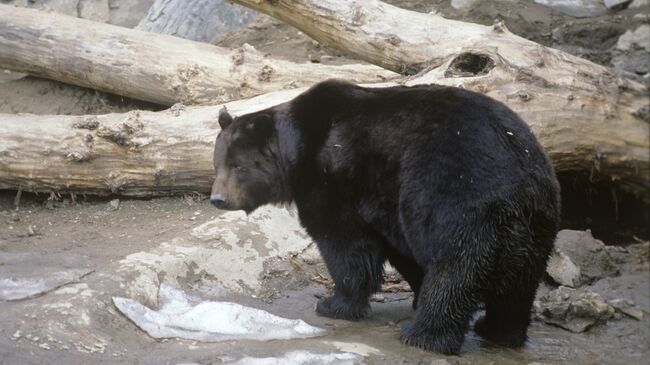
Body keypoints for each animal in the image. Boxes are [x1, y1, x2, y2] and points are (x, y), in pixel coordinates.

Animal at [210, 79, 560, 352]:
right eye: (218, 163)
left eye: (239, 166)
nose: (218, 198)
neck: (299, 150)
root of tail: (521, 179)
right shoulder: (384, 201)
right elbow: (397, 248)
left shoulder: (336, 180)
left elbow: (344, 243)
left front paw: (333, 303)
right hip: (535, 222)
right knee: (520, 282)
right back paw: (499, 330)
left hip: (461, 197)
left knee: (455, 267)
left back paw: (423, 336)